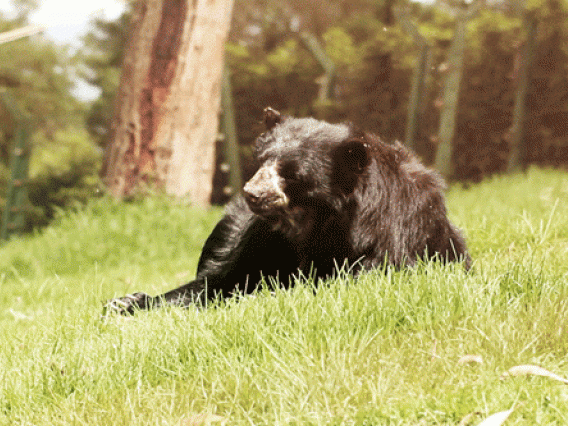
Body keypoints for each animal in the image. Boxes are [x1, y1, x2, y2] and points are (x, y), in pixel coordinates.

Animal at [107, 106, 470, 312]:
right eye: (261, 159)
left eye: (292, 173)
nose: (252, 194)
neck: (313, 221)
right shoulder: (262, 237)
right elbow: (219, 281)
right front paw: (126, 302)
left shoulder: (386, 241)